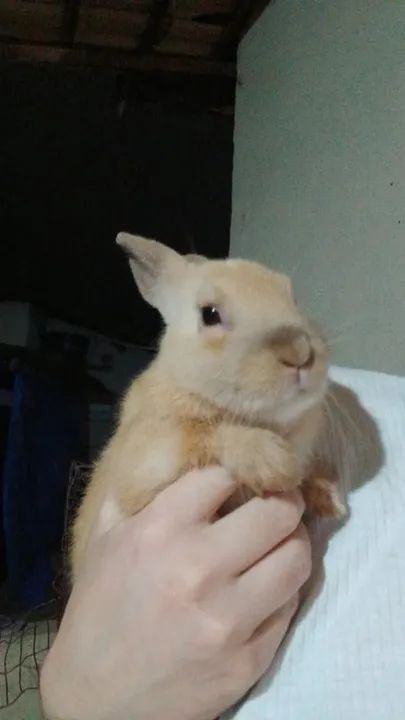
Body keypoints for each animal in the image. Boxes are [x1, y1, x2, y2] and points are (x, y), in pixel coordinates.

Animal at [70, 234, 344, 580]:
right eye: (209, 314)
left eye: (293, 298)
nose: (300, 352)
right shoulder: (149, 458)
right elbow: (202, 434)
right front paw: (275, 463)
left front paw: (332, 498)